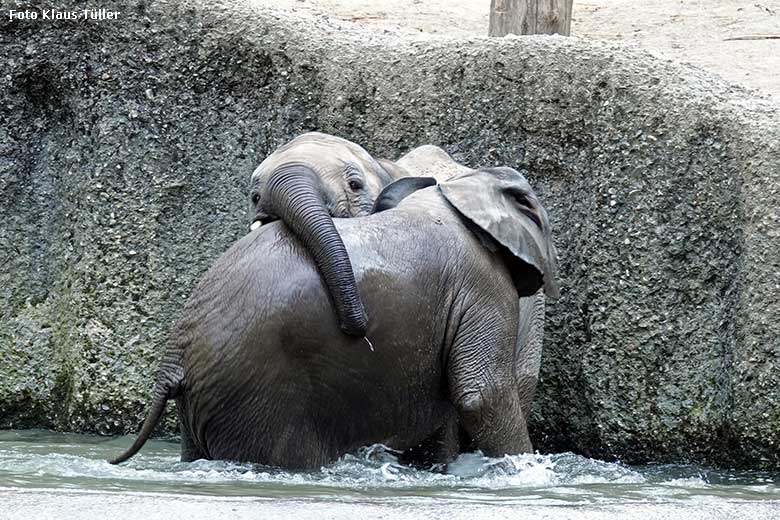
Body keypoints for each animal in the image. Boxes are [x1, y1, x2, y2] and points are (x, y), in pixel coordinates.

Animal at [111, 168, 560, 472]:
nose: (357, 324)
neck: (455, 190)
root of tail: (174, 357)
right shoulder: (482, 282)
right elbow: (481, 392)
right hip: (256, 392)